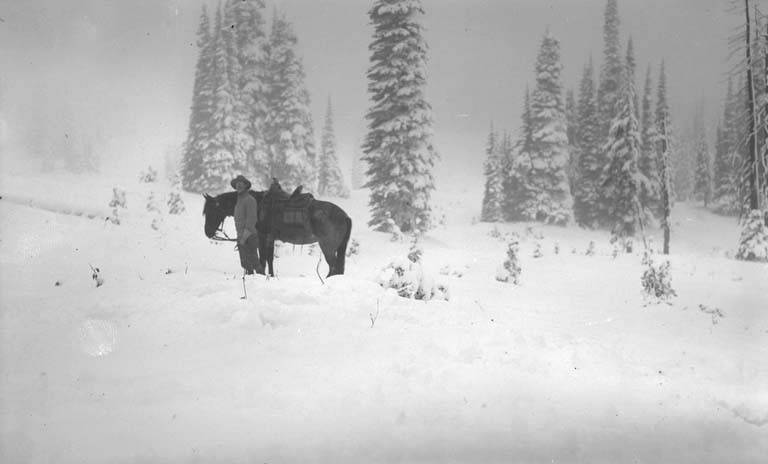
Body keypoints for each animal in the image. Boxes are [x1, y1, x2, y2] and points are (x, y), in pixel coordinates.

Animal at [201, 189, 352, 278]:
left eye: (211, 211)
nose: (207, 232)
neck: (258, 205)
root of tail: (345, 216)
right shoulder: (270, 238)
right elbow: (270, 258)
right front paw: (271, 276)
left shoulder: (262, 237)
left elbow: (262, 259)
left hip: (327, 247)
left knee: (333, 267)